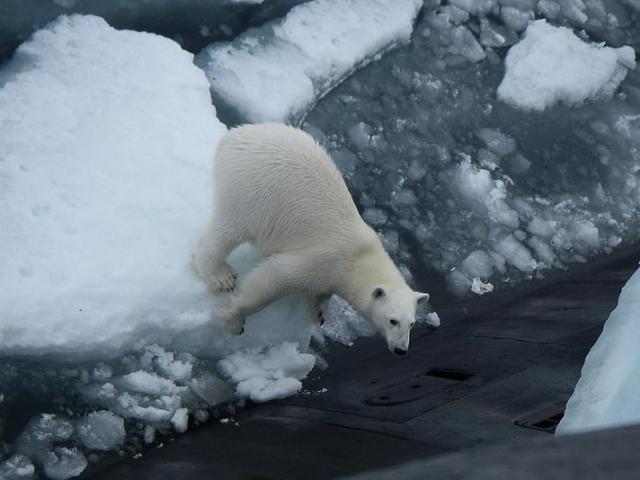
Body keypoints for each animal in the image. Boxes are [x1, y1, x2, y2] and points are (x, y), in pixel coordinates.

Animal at [192, 124, 428, 356]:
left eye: (412, 324)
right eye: (393, 320)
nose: (401, 349)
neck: (360, 258)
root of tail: (233, 136)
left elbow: (321, 292)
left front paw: (320, 312)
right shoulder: (324, 259)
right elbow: (273, 278)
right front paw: (235, 320)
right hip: (251, 190)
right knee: (229, 229)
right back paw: (221, 276)